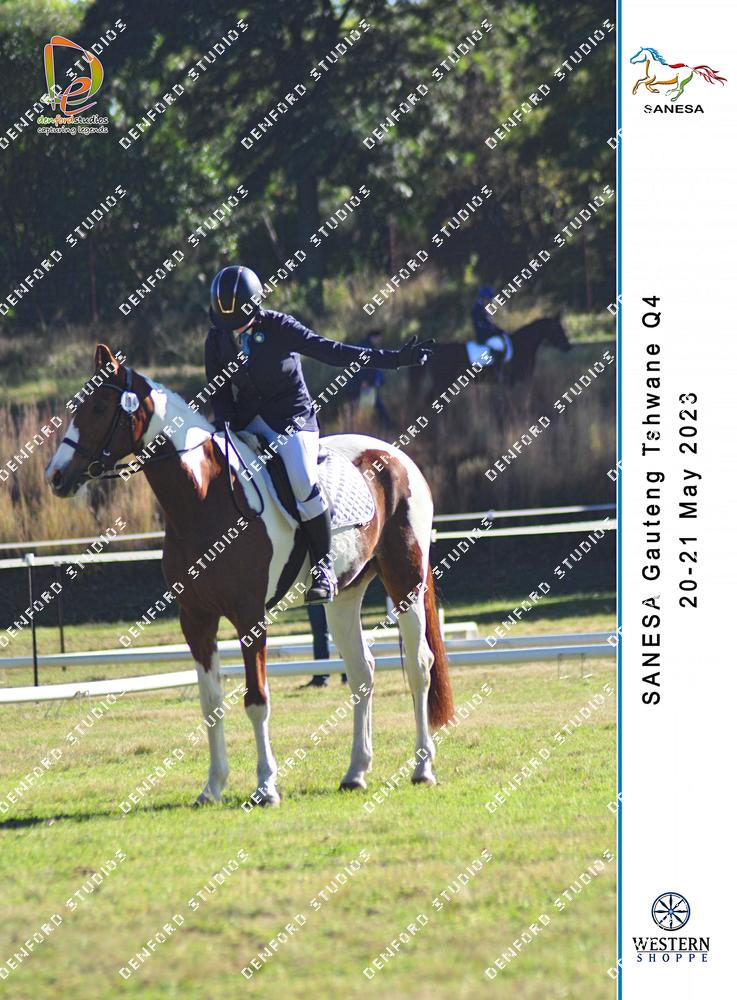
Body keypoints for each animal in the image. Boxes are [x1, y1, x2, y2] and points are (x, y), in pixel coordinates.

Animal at [45, 345, 454, 807]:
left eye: (98, 407)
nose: (55, 476)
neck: (203, 499)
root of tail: (397, 457)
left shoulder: (249, 617)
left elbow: (256, 699)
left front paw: (265, 787)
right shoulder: (196, 619)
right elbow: (210, 703)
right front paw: (212, 788)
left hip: (406, 579)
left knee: (419, 665)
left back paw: (422, 768)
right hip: (344, 596)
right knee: (362, 672)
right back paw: (355, 772)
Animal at [410, 315, 571, 402]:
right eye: (558, 329)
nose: (568, 346)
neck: (521, 345)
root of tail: (438, 348)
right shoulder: (513, 382)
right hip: (442, 382)